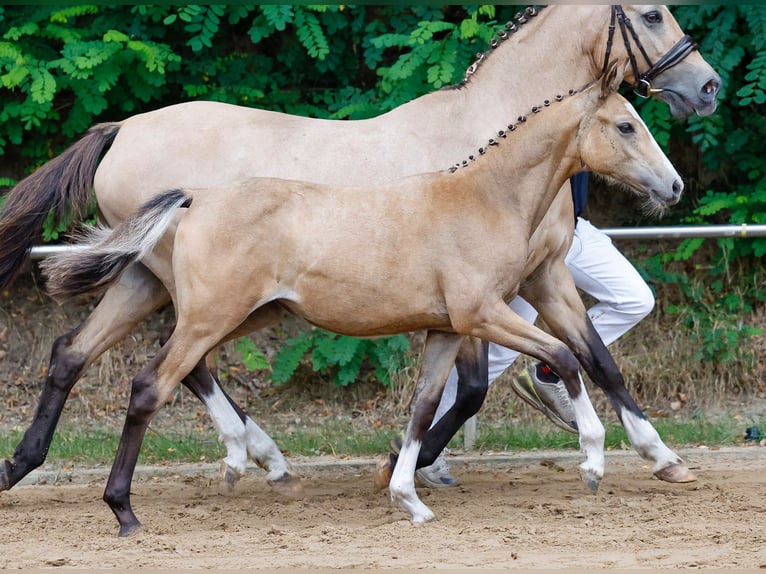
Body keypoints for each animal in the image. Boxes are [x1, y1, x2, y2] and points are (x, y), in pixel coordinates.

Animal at [0, 5, 720, 500]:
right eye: (652, 13)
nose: (708, 87)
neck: (487, 155)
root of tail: (122, 128)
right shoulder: (481, 301)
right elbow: (478, 387)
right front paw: (408, 465)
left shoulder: (542, 277)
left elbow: (598, 359)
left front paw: (662, 456)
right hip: (191, 290)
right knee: (179, 363)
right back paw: (253, 455)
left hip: (149, 280)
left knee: (76, 352)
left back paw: (23, 463)